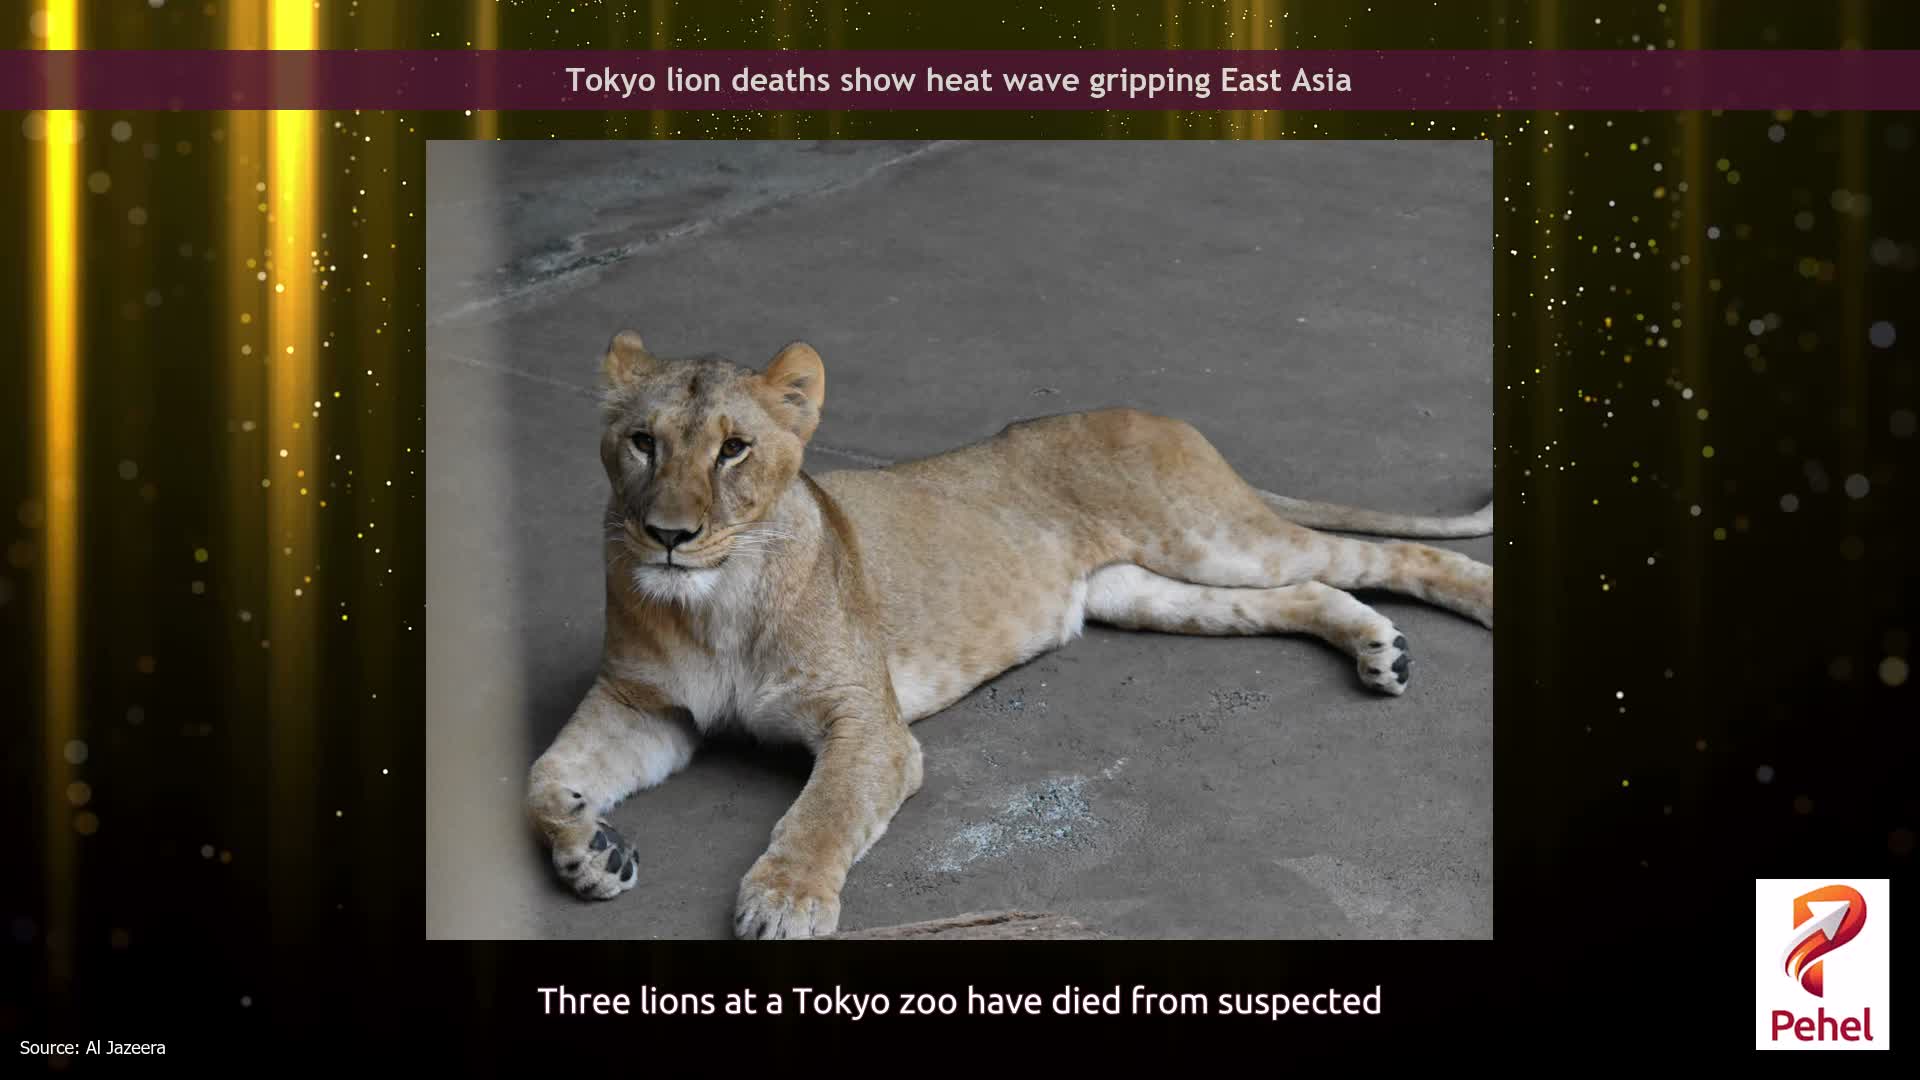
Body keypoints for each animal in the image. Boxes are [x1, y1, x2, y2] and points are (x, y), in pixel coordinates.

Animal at [526, 330, 1493, 939]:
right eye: (642, 442)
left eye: (734, 449)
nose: (668, 535)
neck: (713, 601)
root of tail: (1151, 414)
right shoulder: (645, 707)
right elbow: (542, 782)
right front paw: (592, 851)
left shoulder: (866, 725)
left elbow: (823, 812)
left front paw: (785, 902)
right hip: (1145, 589)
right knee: (1309, 589)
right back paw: (1379, 649)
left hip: (1214, 537)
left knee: (1381, 553)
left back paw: (1469, 607)